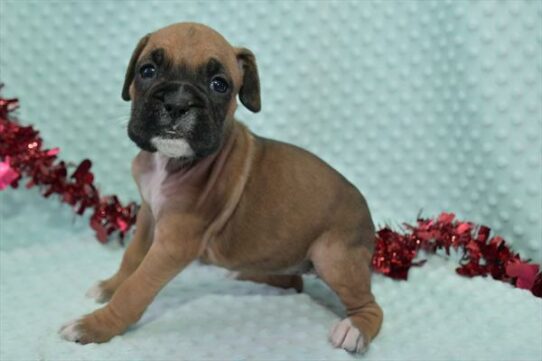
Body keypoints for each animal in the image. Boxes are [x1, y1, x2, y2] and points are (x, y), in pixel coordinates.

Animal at [59, 21, 384, 352]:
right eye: (147, 70)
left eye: (219, 84)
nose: (177, 103)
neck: (168, 162)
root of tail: (368, 217)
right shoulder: (148, 215)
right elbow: (132, 258)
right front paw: (110, 286)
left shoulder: (174, 244)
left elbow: (136, 288)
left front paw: (94, 326)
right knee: (295, 281)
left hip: (334, 259)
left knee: (370, 306)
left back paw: (354, 330)